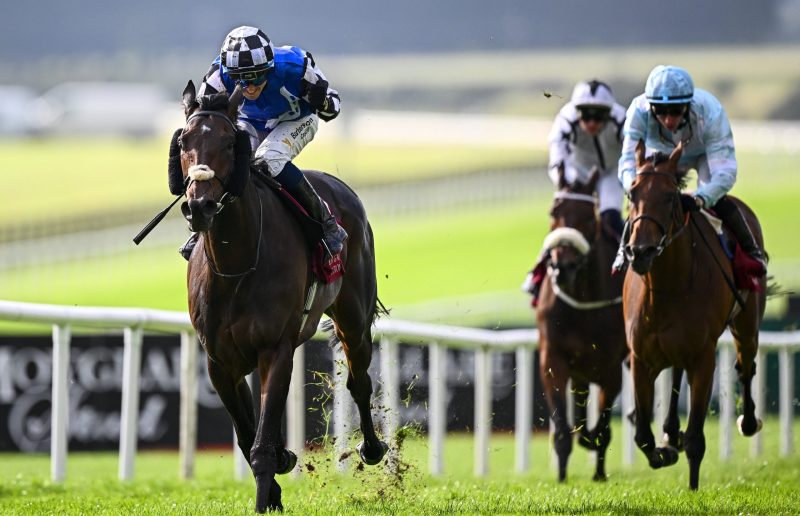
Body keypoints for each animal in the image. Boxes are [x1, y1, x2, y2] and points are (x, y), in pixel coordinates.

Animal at [172, 81, 388, 512]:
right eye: (184, 141)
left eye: (229, 142)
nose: (200, 205)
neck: (235, 265)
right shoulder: (220, 361)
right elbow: (246, 435)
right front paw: (276, 482)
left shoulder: (276, 349)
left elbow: (260, 445)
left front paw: (265, 496)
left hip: (353, 317)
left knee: (359, 381)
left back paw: (371, 448)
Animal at [535, 168, 627, 482]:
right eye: (554, 211)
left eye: (589, 216)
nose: (562, 268)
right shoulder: (553, 359)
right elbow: (563, 429)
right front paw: (562, 477)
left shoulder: (611, 366)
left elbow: (603, 429)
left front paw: (598, 468)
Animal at [624, 140, 766, 490]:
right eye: (632, 193)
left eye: (669, 196)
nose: (640, 252)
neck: (666, 288)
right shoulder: (640, 358)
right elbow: (642, 434)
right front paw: (663, 450)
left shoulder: (703, 357)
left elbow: (696, 440)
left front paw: (693, 489)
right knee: (676, 374)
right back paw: (669, 431)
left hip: (746, 325)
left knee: (746, 365)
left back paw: (748, 421)